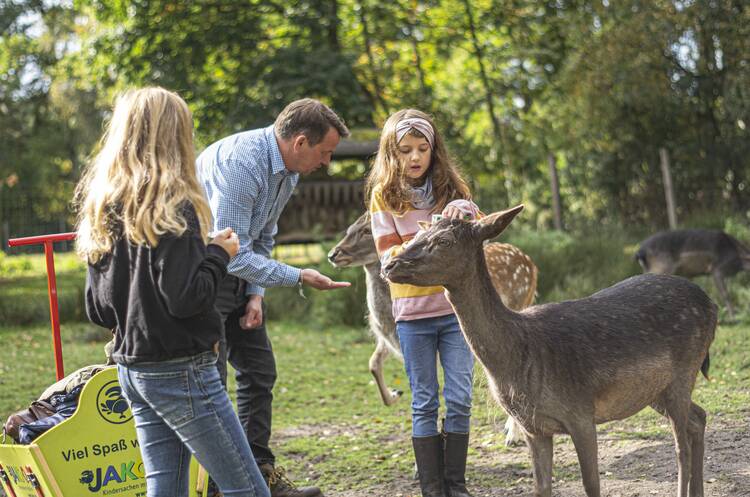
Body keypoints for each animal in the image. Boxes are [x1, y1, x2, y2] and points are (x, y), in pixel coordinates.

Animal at [328, 211, 536, 444]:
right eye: (349, 228)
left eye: (366, 230)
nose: (333, 254)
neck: (386, 321)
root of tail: (531, 264)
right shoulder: (391, 341)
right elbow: (373, 363)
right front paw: (394, 395)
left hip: (520, 303)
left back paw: (513, 434)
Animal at [384, 205, 720, 496]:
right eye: (417, 234)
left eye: (443, 240)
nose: (389, 264)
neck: (519, 359)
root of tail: (711, 304)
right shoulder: (534, 428)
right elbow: (541, 487)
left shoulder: (581, 413)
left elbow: (591, 485)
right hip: (653, 390)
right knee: (699, 417)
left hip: (684, 371)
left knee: (681, 446)